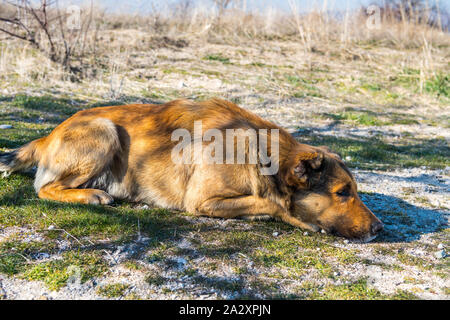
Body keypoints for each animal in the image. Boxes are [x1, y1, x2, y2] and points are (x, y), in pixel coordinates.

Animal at [0, 97, 384, 240]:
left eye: (355, 191)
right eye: (342, 193)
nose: (381, 228)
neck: (260, 155)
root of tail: (49, 134)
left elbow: (267, 201)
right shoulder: (200, 200)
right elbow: (273, 202)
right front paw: (295, 217)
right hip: (105, 131)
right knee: (44, 189)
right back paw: (92, 194)